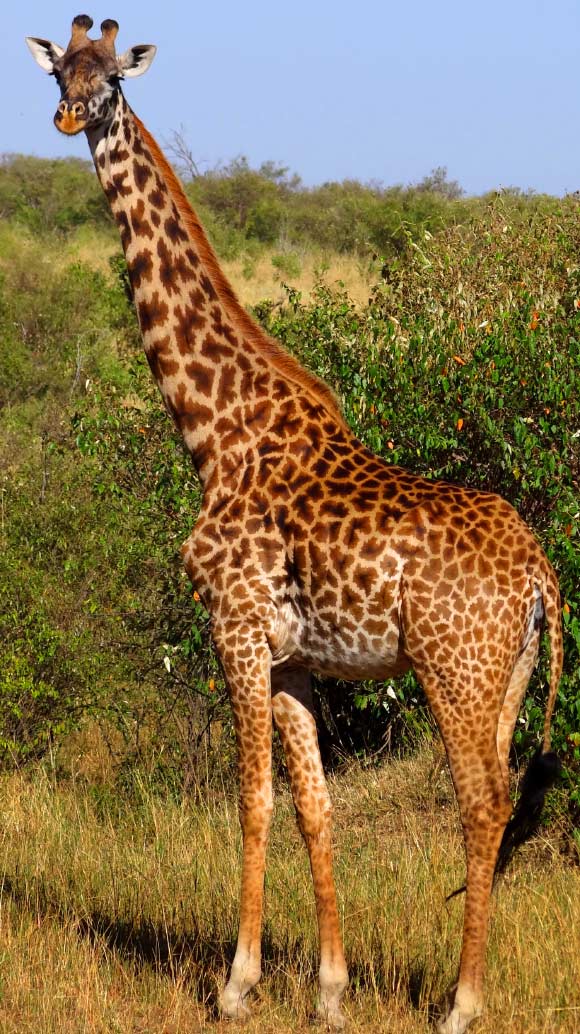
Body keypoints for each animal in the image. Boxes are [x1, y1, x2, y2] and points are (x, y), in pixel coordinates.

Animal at [26, 17, 563, 1034]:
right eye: (60, 70)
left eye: (113, 78)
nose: (70, 115)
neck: (214, 432)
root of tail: (541, 575)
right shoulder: (293, 660)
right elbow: (316, 808)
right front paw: (329, 989)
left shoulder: (233, 628)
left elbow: (252, 800)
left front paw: (236, 983)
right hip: (507, 680)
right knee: (503, 800)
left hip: (454, 672)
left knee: (480, 803)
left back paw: (462, 1003)